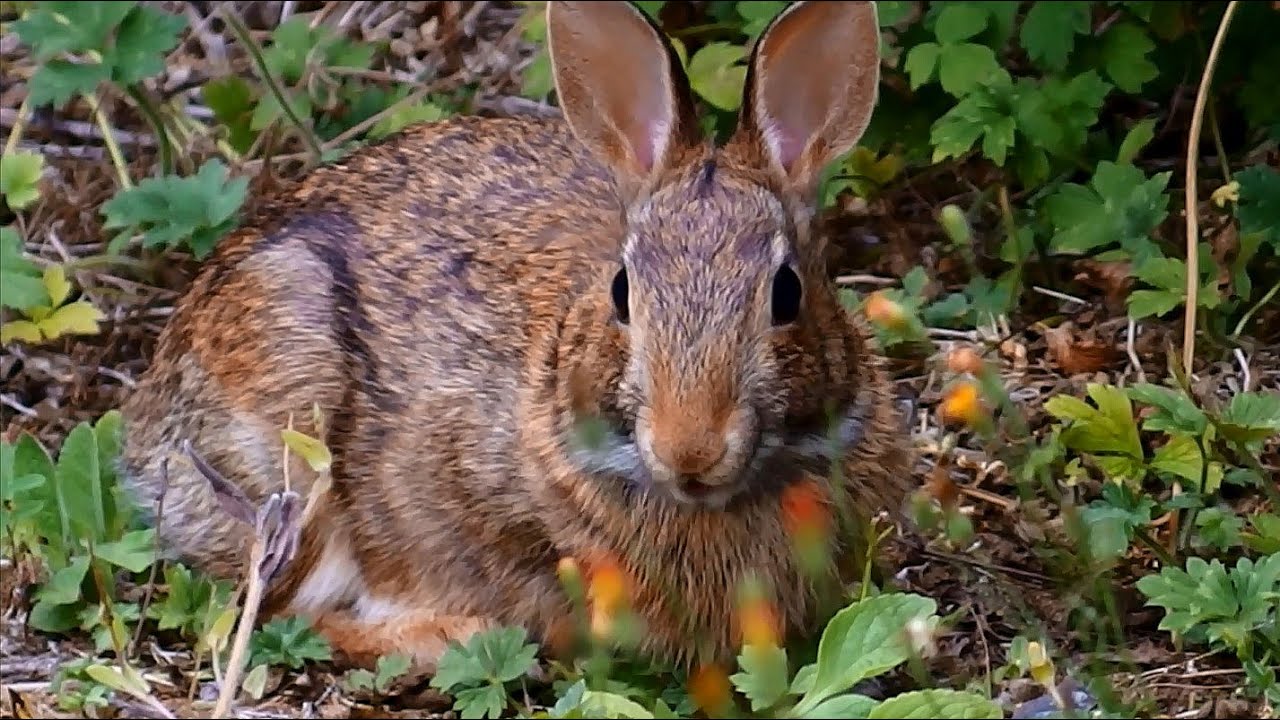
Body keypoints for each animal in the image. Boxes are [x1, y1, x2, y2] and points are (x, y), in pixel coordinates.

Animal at [118, 0, 916, 672]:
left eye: (787, 294)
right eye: (621, 292)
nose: (688, 449)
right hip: (293, 430)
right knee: (270, 606)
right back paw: (443, 638)